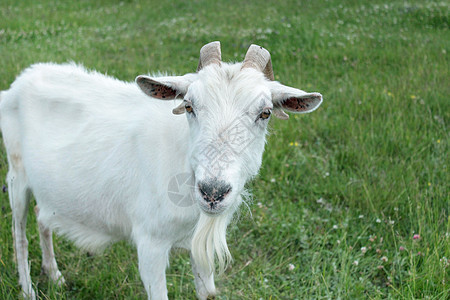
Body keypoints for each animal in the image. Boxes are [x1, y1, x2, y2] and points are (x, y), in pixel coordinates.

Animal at [0, 41, 324, 298]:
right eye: (189, 106)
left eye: (265, 113)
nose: (213, 192)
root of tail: (22, 79)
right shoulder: (150, 242)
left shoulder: (197, 243)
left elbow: (207, 293)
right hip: (16, 175)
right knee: (19, 232)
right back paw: (28, 290)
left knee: (43, 216)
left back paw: (54, 276)